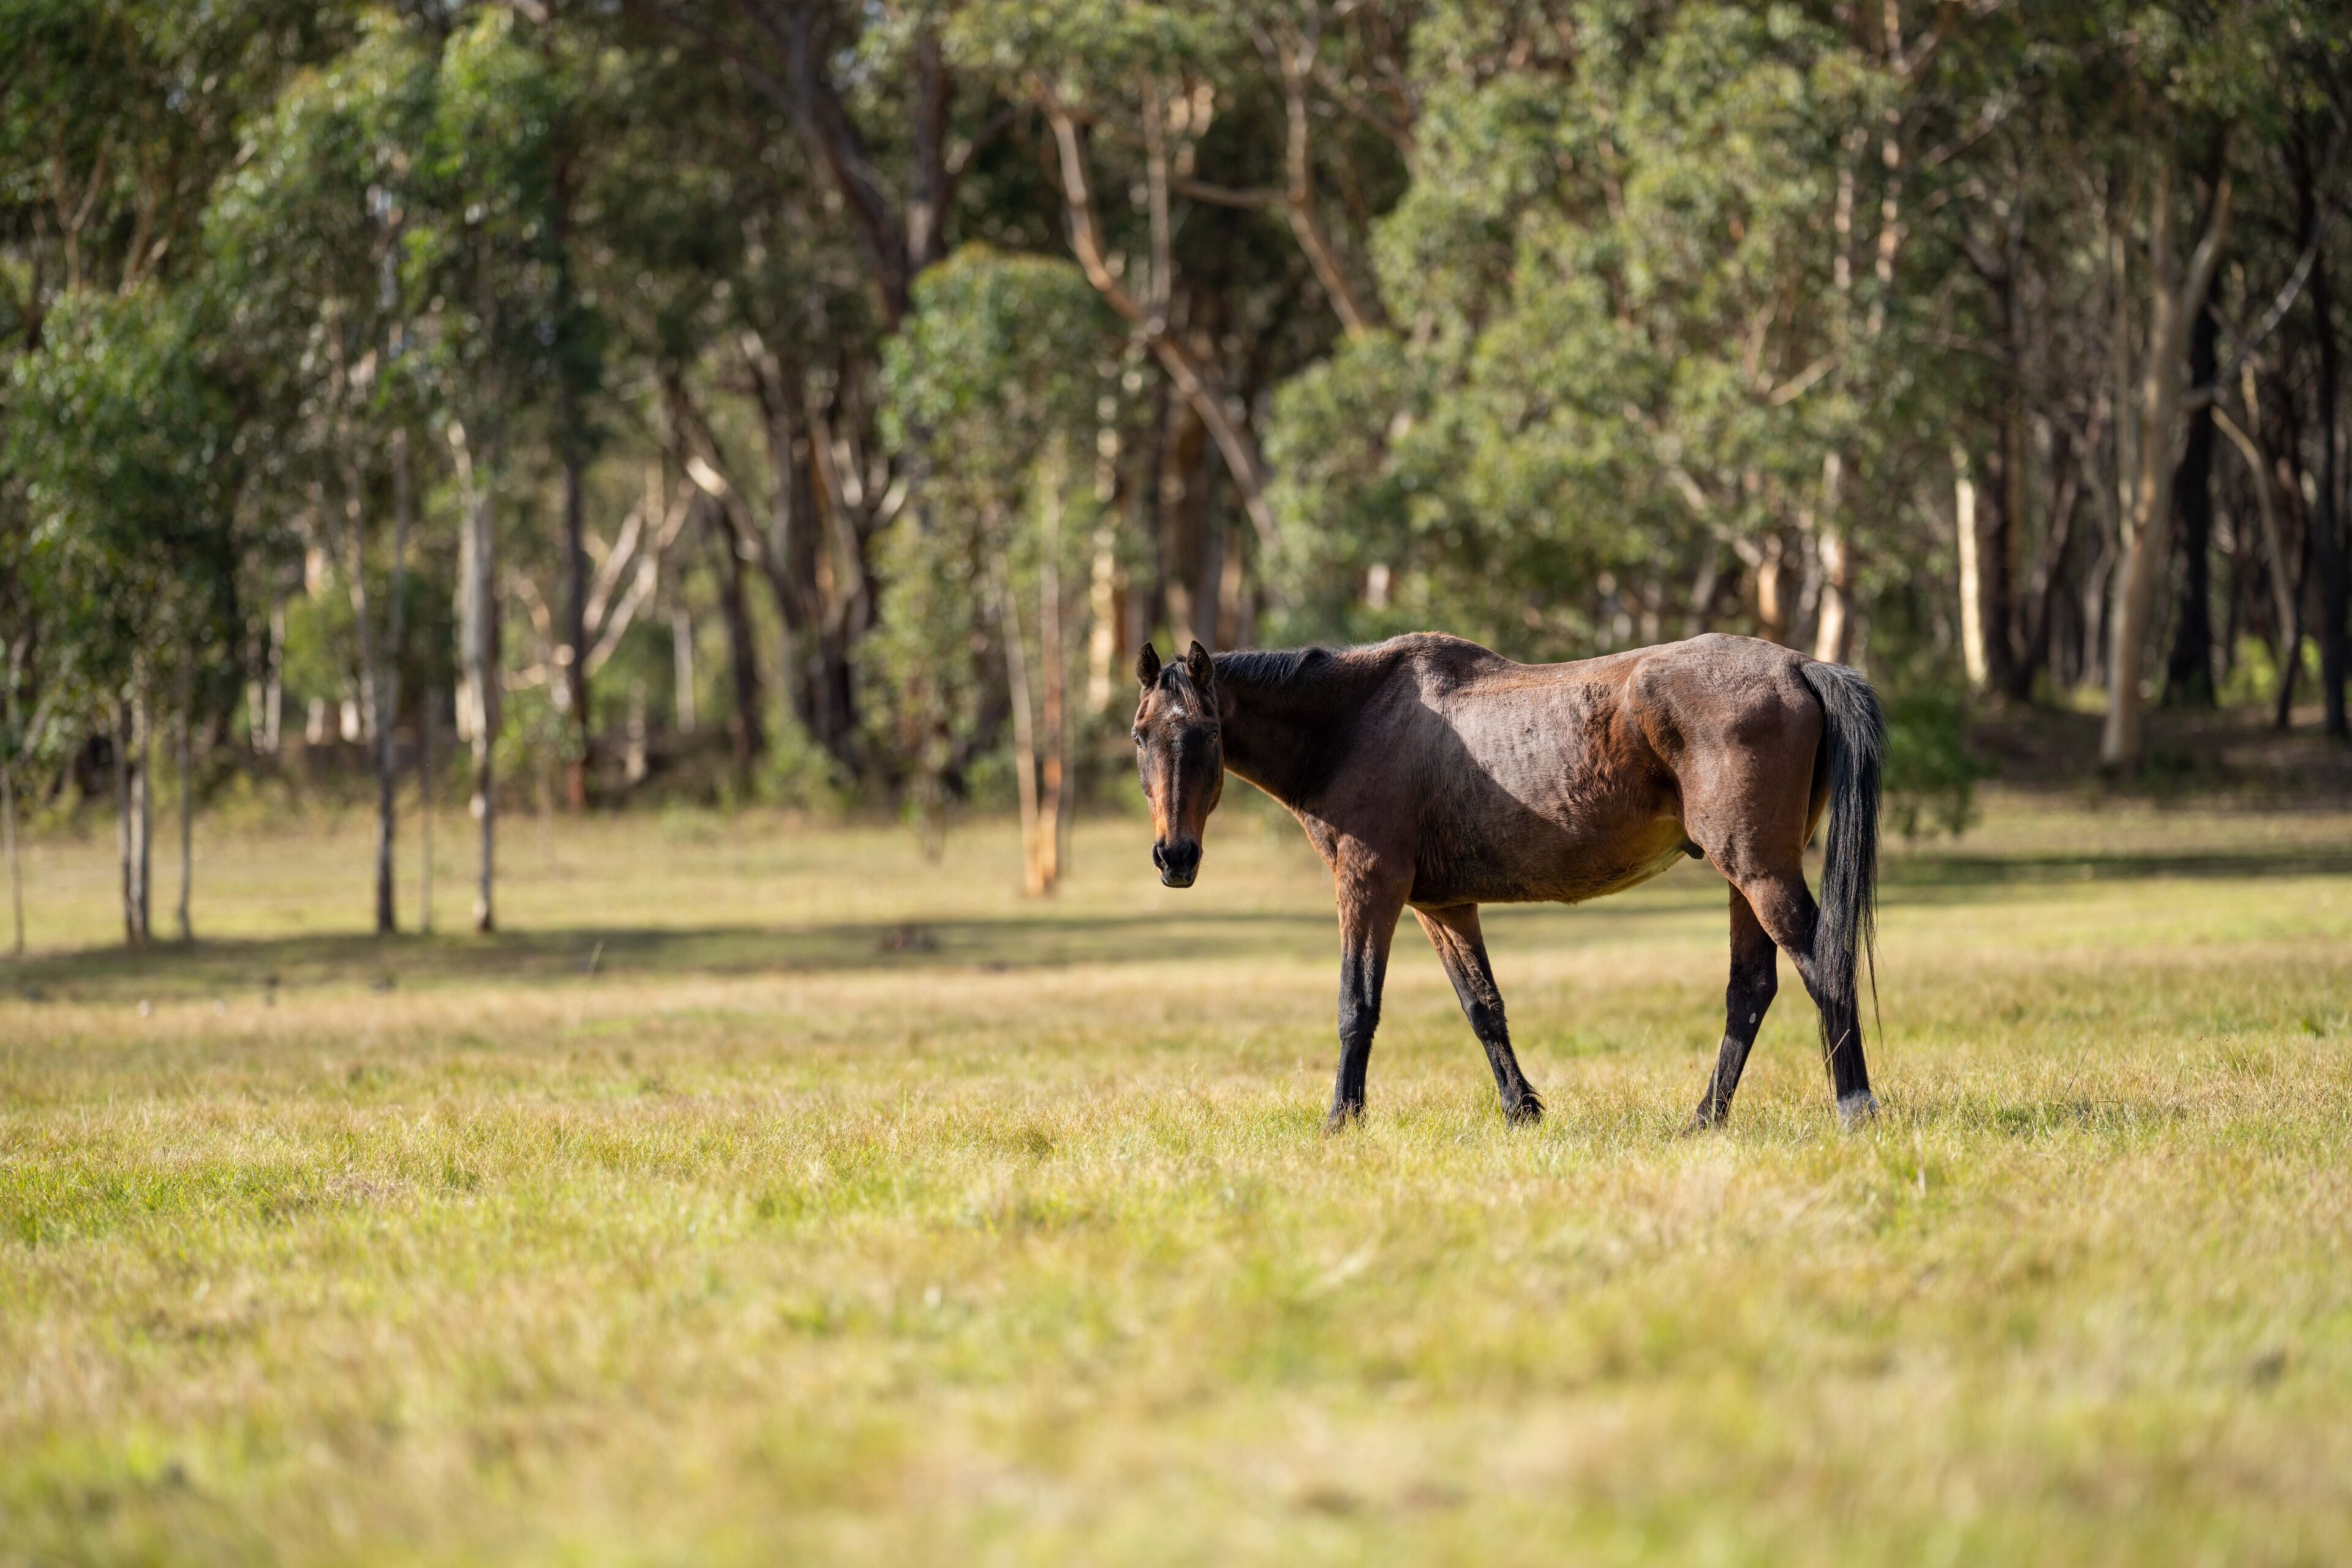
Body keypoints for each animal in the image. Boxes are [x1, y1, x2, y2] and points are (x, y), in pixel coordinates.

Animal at [1129, 632, 1884, 1133]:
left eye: (1206, 734)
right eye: (1141, 736)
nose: (1174, 857)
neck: (1354, 722)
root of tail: (1799, 665)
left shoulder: (1368, 886)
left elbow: (1356, 1006)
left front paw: (1342, 1119)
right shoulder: (1442, 906)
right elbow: (1482, 1007)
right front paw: (1522, 1110)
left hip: (1759, 871)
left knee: (1824, 967)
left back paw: (1855, 1108)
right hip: (1745, 877)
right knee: (1749, 991)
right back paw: (1705, 1119)